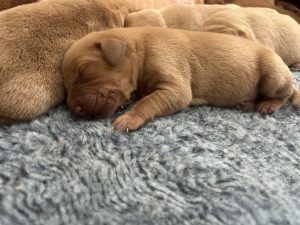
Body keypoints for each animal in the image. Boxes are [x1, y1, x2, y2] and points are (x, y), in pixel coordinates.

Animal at [61, 27, 300, 132]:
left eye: (83, 70)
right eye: (66, 86)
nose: (75, 110)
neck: (140, 46)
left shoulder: (174, 86)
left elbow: (147, 101)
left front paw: (129, 118)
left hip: (273, 76)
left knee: (288, 91)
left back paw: (268, 104)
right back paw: (247, 103)